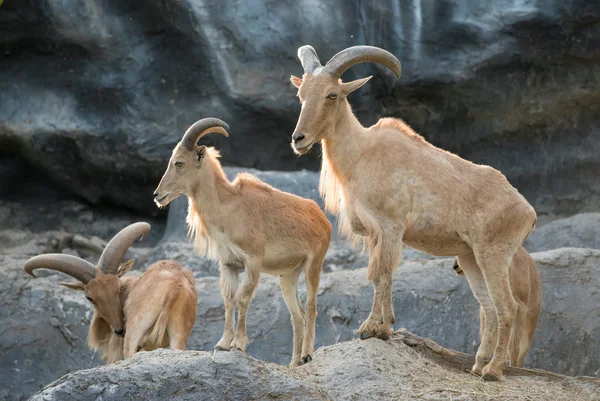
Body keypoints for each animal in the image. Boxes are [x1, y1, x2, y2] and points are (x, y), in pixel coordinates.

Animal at [24, 222, 198, 362]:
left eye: (118, 288)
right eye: (90, 297)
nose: (120, 330)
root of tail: (174, 287)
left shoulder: (115, 351)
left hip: (134, 332)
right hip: (179, 334)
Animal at [152, 116, 330, 366]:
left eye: (178, 163)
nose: (157, 195)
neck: (228, 208)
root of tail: (323, 219)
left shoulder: (253, 261)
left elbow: (243, 299)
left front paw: (238, 344)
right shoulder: (229, 264)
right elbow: (229, 300)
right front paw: (222, 343)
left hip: (314, 264)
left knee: (312, 307)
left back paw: (306, 355)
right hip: (288, 275)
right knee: (297, 315)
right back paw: (294, 363)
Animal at [288, 45, 536, 380]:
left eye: (331, 94)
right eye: (301, 94)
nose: (298, 139)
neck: (361, 154)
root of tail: (527, 211)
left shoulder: (390, 227)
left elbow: (381, 273)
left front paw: (374, 329)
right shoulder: (376, 235)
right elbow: (378, 275)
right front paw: (382, 326)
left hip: (493, 256)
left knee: (506, 307)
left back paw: (493, 371)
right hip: (470, 259)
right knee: (488, 308)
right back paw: (478, 365)